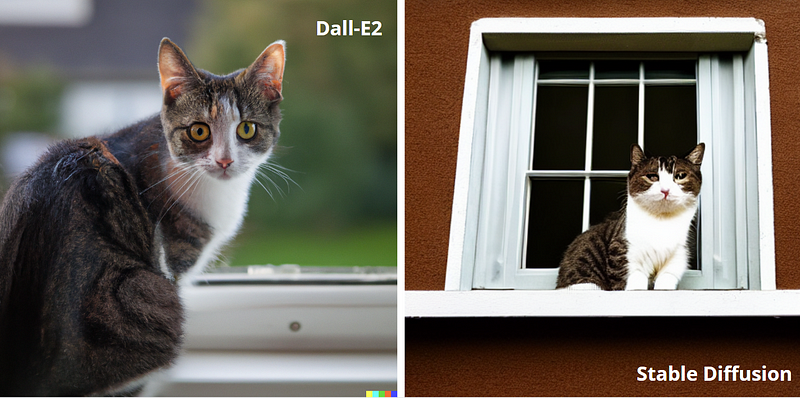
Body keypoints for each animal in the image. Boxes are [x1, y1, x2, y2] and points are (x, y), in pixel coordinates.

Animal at [556, 142, 708, 290]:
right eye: (652, 177)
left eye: (680, 176)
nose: (665, 190)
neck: (661, 219)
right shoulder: (623, 250)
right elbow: (633, 282)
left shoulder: (677, 256)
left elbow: (666, 280)